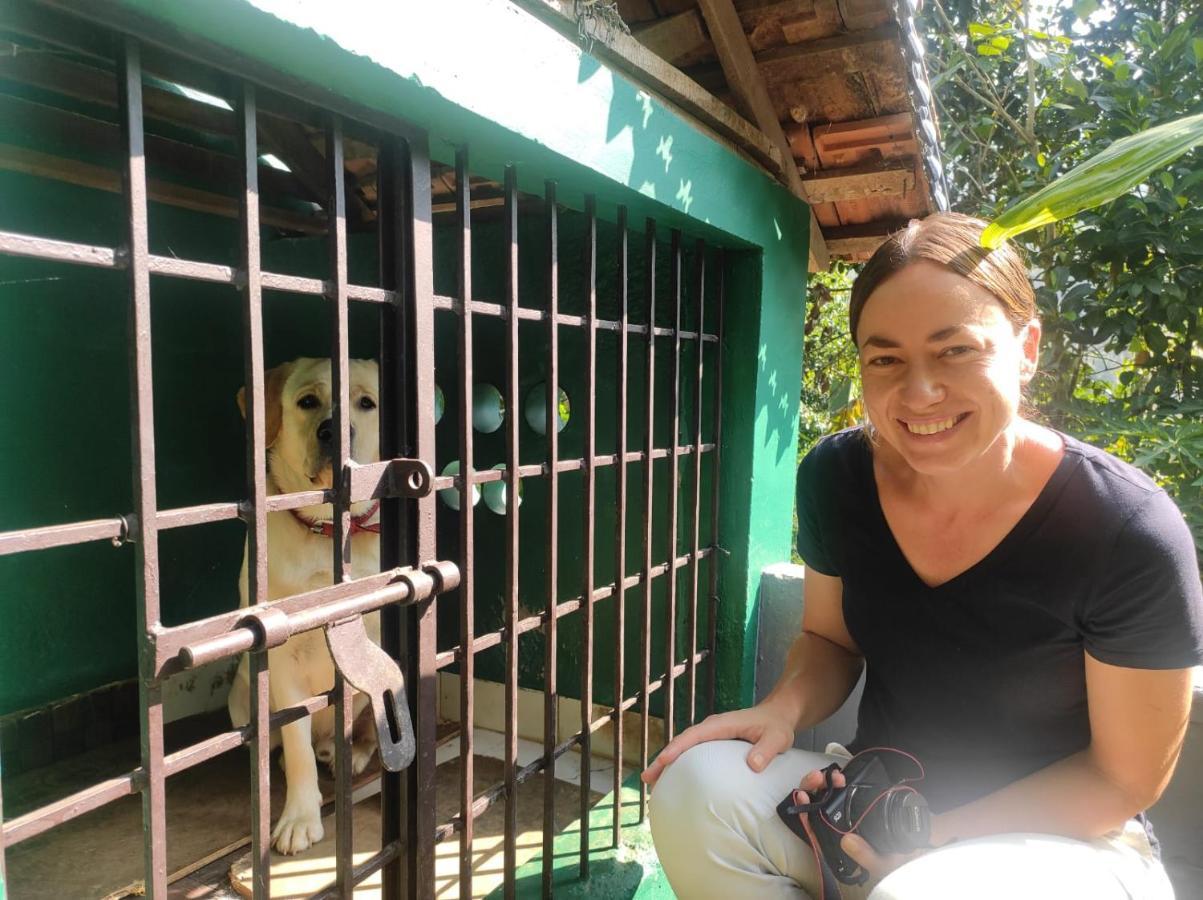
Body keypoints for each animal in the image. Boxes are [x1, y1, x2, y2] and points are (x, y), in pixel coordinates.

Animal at [227, 356, 382, 856]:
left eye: (367, 403)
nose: (335, 430)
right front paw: (299, 815)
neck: (329, 532)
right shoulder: (280, 660)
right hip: (241, 696)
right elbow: (296, 747)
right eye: (308, 401)